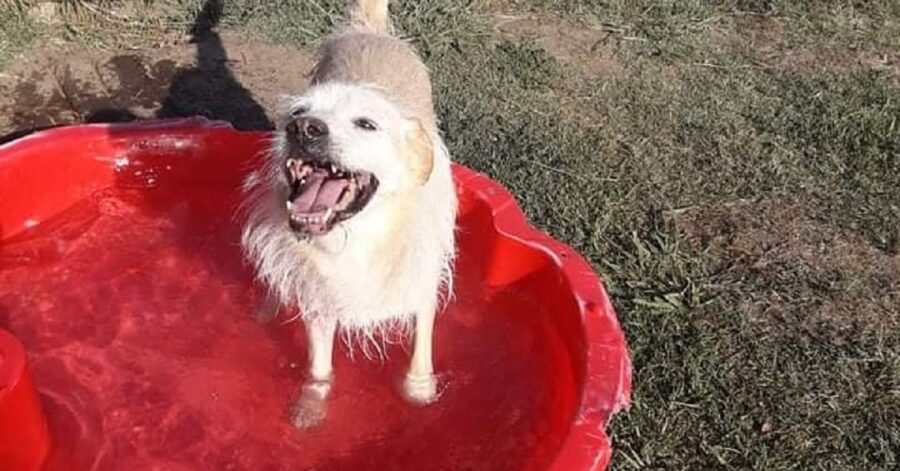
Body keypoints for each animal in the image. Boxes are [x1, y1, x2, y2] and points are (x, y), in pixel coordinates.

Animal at [239, 0, 458, 428]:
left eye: (367, 124)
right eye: (299, 111)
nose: (302, 128)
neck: (360, 241)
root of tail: (370, 32)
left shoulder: (422, 281)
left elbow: (421, 345)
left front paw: (420, 392)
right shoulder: (320, 298)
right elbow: (319, 366)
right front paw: (312, 404)